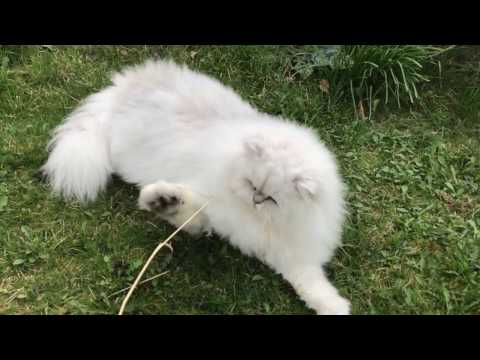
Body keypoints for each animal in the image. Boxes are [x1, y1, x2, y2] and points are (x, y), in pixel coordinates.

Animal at [43, 59, 350, 316]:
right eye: (252, 185)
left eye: (271, 199)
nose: (255, 199)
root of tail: (122, 86)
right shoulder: (211, 210)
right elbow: (186, 210)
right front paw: (160, 200)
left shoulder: (293, 252)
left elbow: (311, 283)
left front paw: (333, 307)